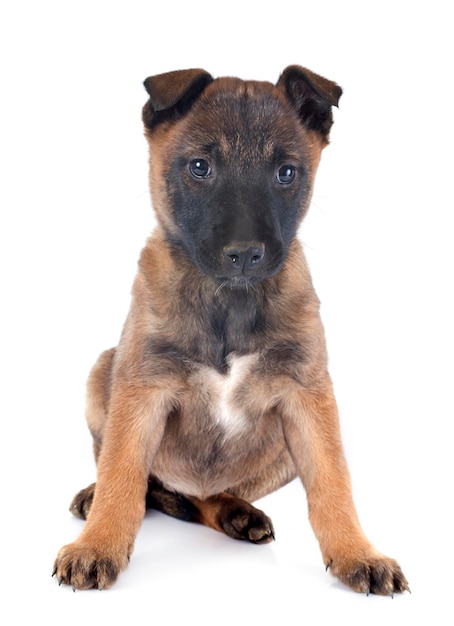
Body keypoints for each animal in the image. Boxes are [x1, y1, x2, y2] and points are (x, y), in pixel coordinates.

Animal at [53, 64, 408, 596]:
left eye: (286, 172)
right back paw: (97, 496)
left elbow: (333, 482)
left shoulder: (308, 398)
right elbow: (122, 473)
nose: (244, 253)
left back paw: (236, 513)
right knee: (130, 473)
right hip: (104, 370)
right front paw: (98, 544)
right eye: (200, 167)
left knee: (205, 495)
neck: (228, 301)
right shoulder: (141, 389)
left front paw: (357, 553)